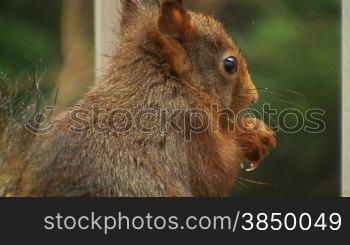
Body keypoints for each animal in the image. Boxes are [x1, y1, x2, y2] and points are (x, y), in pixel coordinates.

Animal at [0, 0, 276, 195]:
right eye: (230, 64)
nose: (253, 97)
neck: (164, 80)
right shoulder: (189, 124)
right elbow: (216, 173)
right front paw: (252, 133)